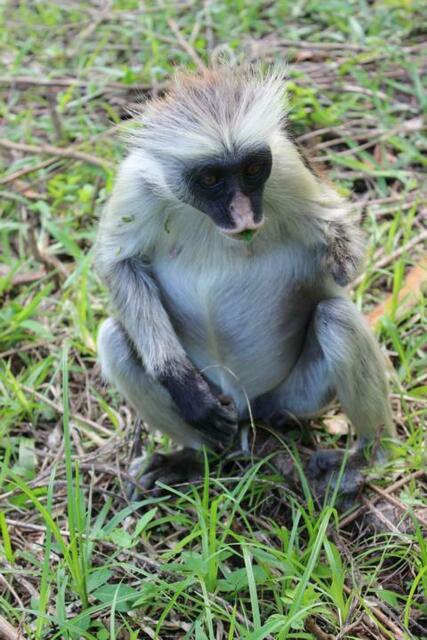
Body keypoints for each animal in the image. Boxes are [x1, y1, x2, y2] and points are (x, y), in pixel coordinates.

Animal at [95, 66, 395, 500]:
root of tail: (245, 405)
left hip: (293, 397)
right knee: (115, 338)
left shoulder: (285, 165)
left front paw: (335, 254)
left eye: (252, 171)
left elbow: (342, 254)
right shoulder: (136, 182)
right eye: (210, 178)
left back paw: (366, 454)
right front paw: (181, 384)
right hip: (226, 404)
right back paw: (194, 456)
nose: (242, 215)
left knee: (335, 316)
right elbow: (118, 263)